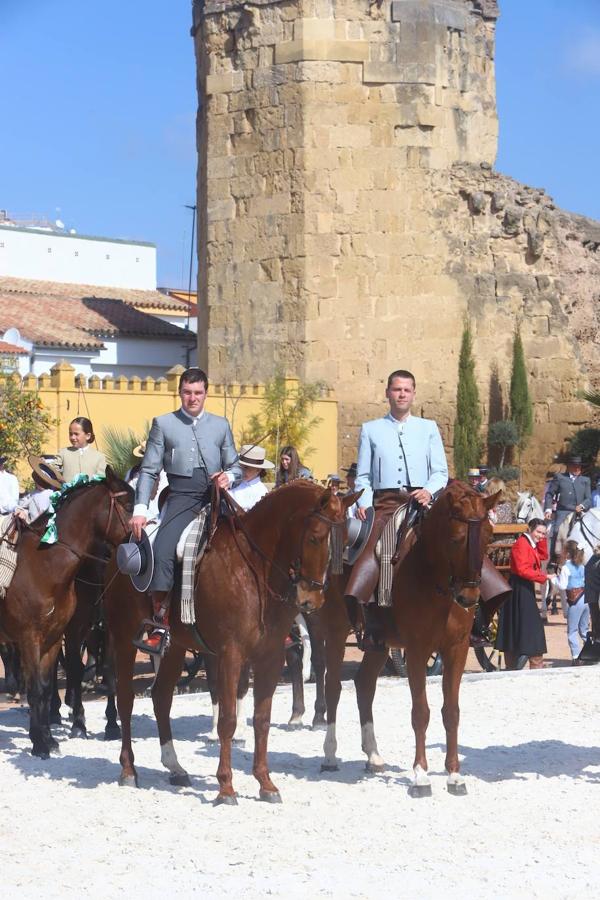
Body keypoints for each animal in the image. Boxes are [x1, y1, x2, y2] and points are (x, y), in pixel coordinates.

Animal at [0, 472, 132, 760]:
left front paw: (48, 739)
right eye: (128, 506)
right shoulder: (30, 637)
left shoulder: (53, 637)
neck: (42, 566)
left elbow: (45, 687)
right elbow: (36, 689)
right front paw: (40, 744)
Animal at [104, 482, 356, 804]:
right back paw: (128, 770)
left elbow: (261, 719)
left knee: (161, 698)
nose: (312, 600)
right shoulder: (230, 655)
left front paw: (265, 783)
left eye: (346, 541)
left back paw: (175, 767)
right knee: (125, 699)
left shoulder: (270, 656)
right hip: (124, 639)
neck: (255, 569)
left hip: (175, 647)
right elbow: (227, 719)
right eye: (314, 537)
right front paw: (225, 787)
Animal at [318, 482, 496, 800]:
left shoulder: (457, 649)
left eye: (488, 536)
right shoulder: (417, 651)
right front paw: (421, 776)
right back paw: (329, 755)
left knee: (364, 685)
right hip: (335, 631)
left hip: (379, 644)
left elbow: (451, 712)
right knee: (333, 688)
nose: (469, 598)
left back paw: (373, 755)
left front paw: (454, 775)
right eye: (456, 539)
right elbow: (421, 713)